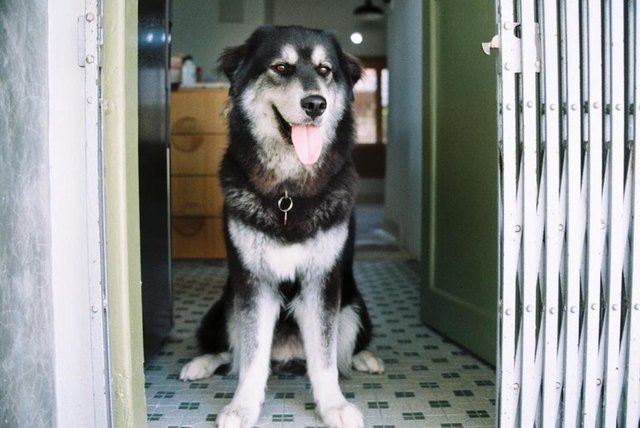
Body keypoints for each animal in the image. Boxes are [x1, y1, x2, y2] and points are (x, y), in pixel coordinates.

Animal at [179, 25, 384, 428]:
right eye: (281, 67)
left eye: (325, 70)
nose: (316, 104)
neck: (289, 192)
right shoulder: (254, 285)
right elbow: (252, 357)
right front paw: (242, 407)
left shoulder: (323, 284)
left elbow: (324, 358)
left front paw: (333, 405)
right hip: (225, 306)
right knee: (226, 351)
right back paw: (199, 363)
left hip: (353, 306)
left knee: (346, 349)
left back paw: (367, 358)